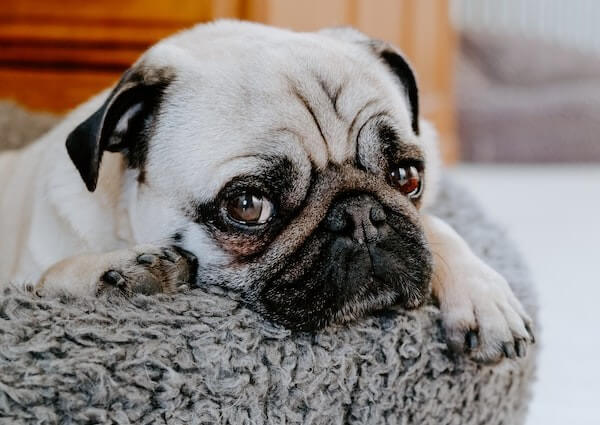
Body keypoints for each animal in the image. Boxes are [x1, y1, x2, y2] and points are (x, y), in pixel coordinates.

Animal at [0, 20, 536, 362]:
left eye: (406, 177)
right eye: (247, 206)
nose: (360, 215)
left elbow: (436, 228)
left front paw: (483, 295)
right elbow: (47, 277)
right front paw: (121, 270)